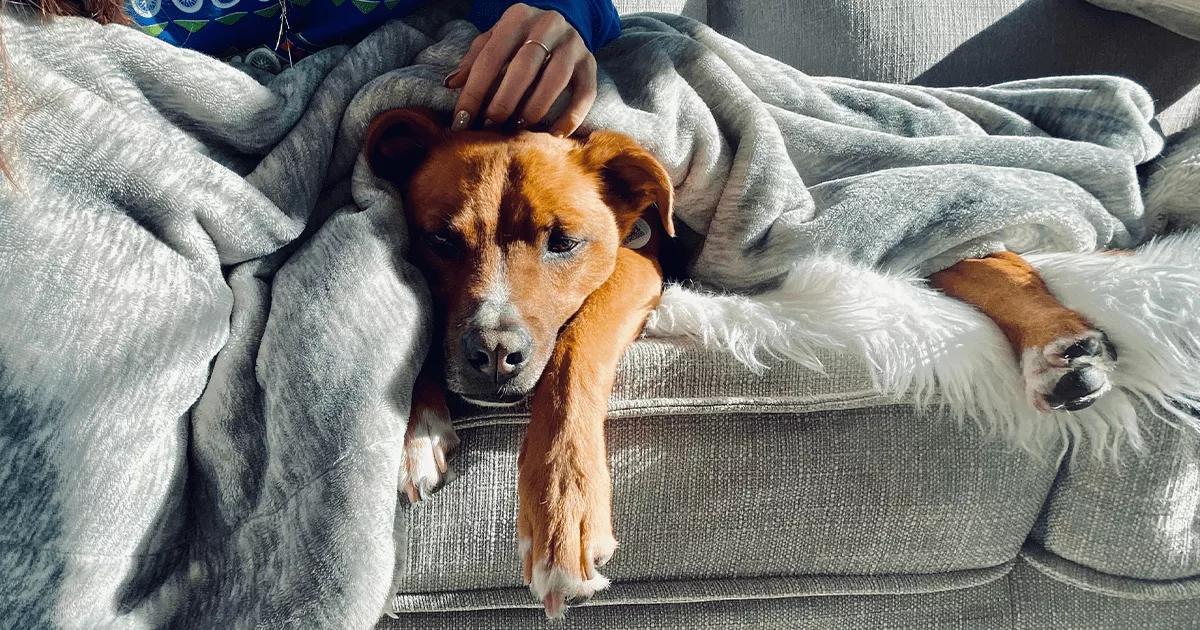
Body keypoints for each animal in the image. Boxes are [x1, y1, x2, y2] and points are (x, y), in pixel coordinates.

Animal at [362, 105, 1113, 614]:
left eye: (565, 242)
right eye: (437, 239)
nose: (494, 354)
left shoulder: (636, 263)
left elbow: (572, 360)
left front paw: (561, 512)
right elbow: (429, 334)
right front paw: (418, 426)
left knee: (977, 246)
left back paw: (1056, 345)